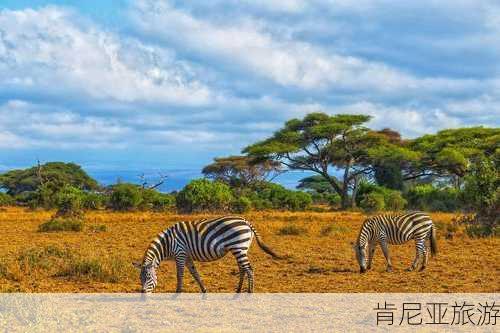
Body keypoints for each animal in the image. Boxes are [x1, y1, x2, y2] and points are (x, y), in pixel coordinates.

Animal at [133, 215, 282, 290]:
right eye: (140, 278)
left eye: (149, 278)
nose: (143, 294)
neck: (167, 243)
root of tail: (246, 221)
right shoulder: (187, 256)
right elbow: (195, 273)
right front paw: (204, 290)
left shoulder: (180, 253)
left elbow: (180, 275)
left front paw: (177, 293)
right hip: (240, 249)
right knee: (242, 269)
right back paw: (238, 291)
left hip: (239, 247)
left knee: (249, 269)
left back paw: (250, 293)